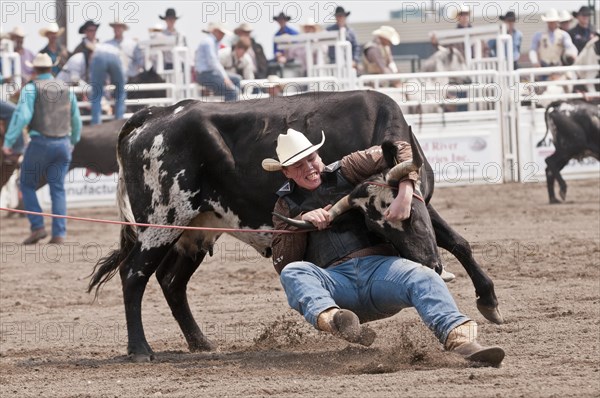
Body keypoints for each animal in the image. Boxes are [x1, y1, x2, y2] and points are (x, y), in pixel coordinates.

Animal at [88, 91, 502, 362]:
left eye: (410, 213)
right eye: (379, 225)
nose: (430, 266)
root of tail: (154, 115)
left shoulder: (428, 206)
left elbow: (459, 243)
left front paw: (489, 301)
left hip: (196, 228)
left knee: (172, 282)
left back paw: (201, 342)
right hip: (160, 222)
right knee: (134, 275)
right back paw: (140, 350)